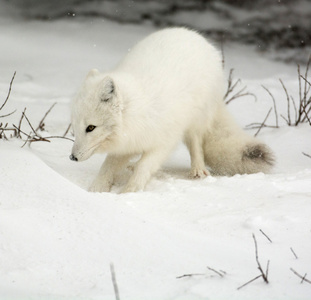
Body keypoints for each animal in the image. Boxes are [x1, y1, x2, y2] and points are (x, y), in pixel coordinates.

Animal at [69, 27, 274, 192]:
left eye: (91, 128)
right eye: (75, 128)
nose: (72, 158)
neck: (139, 112)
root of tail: (194, 35)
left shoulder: (164, 142)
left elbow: (145, 167)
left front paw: (129, 192)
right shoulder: (127, 143)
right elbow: (107, 167)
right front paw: (95, 191)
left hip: (196, 119)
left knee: (196, 143)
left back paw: (197, 169)